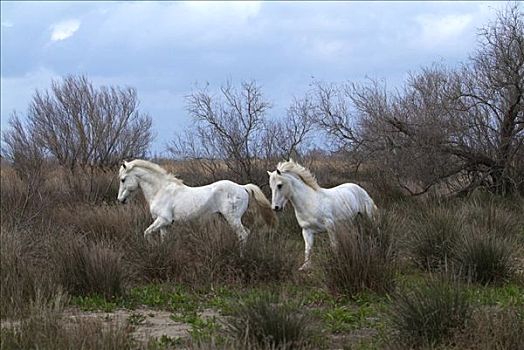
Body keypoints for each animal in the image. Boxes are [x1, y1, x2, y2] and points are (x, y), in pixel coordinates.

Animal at [117, 159, 276, 243]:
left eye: (123, 179)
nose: (120, 200)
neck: (160, 190)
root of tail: (243, 187)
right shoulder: (164, 225)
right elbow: (163, 240)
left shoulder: (163, 220)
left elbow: (146, 233)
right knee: (246, 233)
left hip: (233, 218)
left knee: (243, 235)